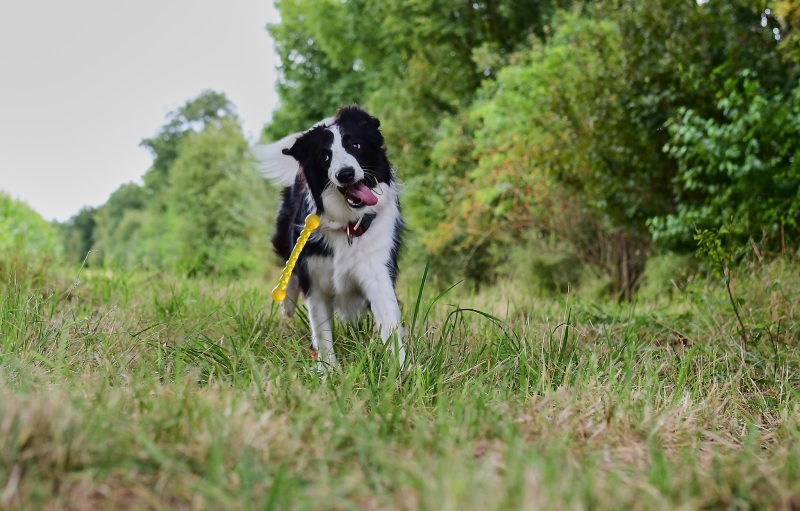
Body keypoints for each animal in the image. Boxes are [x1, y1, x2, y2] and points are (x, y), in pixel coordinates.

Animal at [256, 106, 406, 370]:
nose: (345, 174)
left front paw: (401, 373)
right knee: (289, 268)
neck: (347, 225)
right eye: (325, 157)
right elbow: (322, 333)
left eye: (356, 145)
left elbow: (390, 323)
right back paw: (287, 304)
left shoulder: (377, 270)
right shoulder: (315, 280)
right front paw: (329, 372)